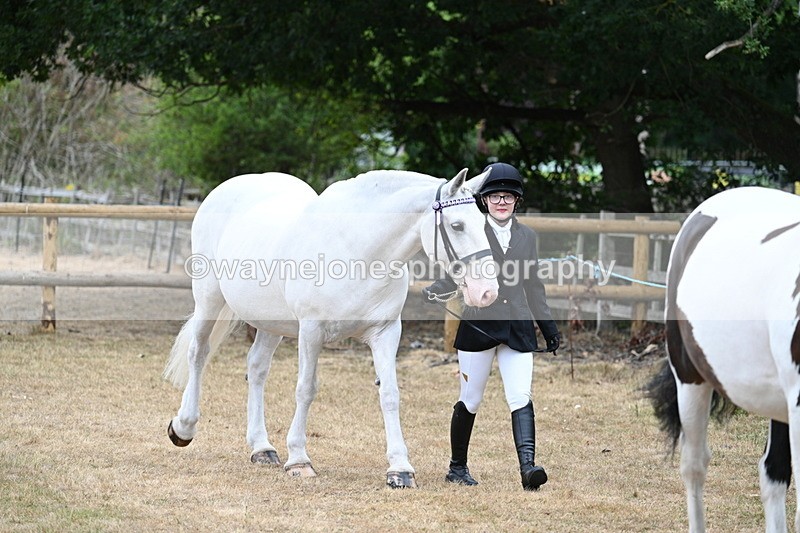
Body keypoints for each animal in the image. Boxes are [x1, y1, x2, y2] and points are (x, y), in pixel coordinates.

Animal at [163, 168, 499, 488]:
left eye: (484, 225)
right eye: (457, 226)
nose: (486, 292)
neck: (358, 252)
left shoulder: (386, 332)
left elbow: (390, 394)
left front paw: (400, 469)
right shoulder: (311, 331)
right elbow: (306, 390)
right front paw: (299, 460)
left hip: (271, 321)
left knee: (256, 368)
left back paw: (262, 447)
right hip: (209, 299)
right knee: (198, 353)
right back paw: (184, 427)